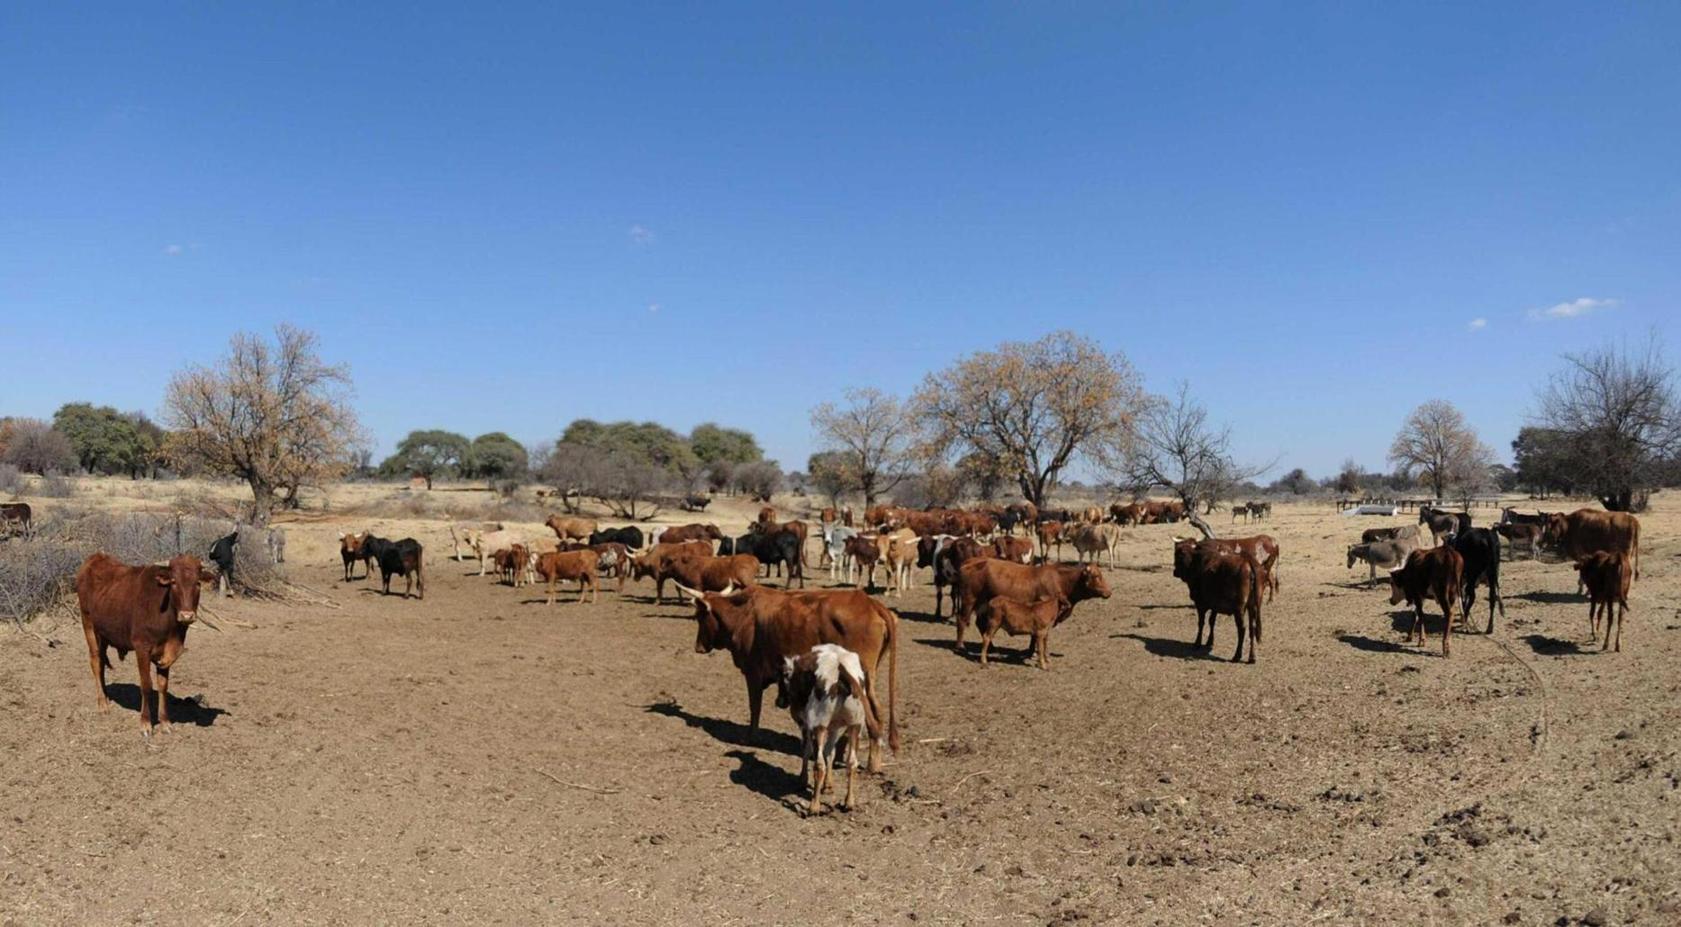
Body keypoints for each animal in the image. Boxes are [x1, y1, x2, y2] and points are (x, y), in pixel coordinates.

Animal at [75, 553, 215, 737]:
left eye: (197, 583)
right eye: (174, 582)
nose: (187, 615)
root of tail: (96, 557)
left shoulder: (166, 653)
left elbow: (163, 685)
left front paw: (165, 722)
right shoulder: (142, 647)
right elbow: (146, 684)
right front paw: (146, 723)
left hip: (104, 632)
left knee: (102, 664)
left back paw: (106, 696)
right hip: (88, 624)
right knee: (95, 661)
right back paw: (102, 704)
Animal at [681, 582, 900, 772]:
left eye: (699, 616)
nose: (698, 647)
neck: (743, 614)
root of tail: (870, 604)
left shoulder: (753, 673)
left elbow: (755, 707)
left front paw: (751, 737)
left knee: (870, 717)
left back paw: (870, 764)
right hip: (868, 680)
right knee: (877, 712)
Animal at [778, 644, 882, 815]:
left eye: (784, 674)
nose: (779, 701)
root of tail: (841, 667)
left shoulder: (806, 723)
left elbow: (807, 750)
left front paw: (803, 780)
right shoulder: (835, 727)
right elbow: (830, 752)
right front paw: (828, 785)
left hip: (819, 725)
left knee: (819, 765)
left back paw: (814, 806)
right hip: (855, 725)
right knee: (851, 763)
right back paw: (849, 802)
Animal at [951, 560, 1112, 649]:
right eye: (1096, 576)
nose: (1109, 592)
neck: (1061, 580)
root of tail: (968, 564)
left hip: (983, 605)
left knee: (980, 624)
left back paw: (991, 647)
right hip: (969, 600)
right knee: (962, 619)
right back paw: (960, 646)